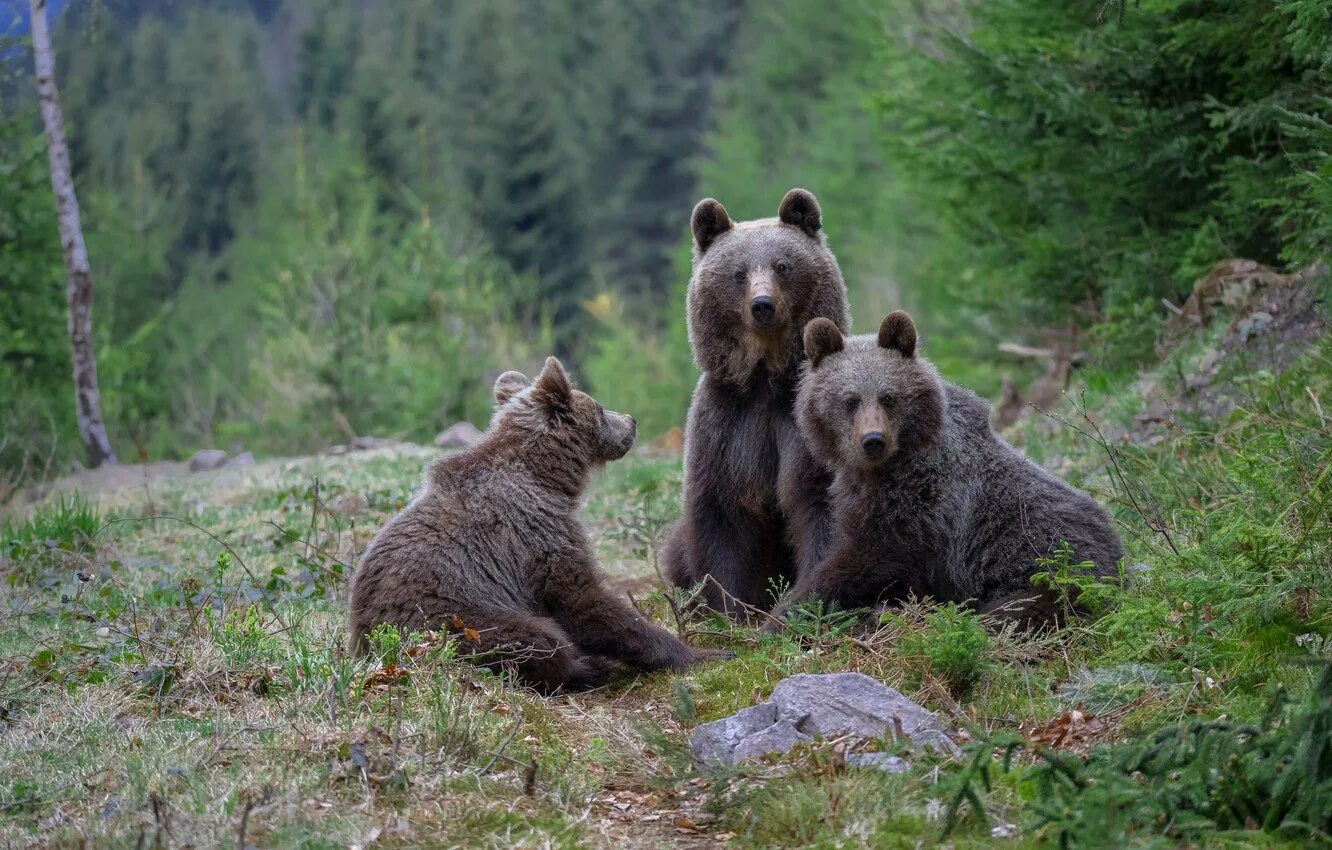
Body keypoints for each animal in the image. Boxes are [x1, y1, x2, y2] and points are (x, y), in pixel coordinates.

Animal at [346, 357, 729, 698]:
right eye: (599, 407)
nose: (631, 421)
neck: (547, 476)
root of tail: (368, 649)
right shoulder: (538, 532)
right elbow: (583, 600)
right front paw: (704, 654)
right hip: (454, 618)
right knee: (537, 639)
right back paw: (592, 667)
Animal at [663, 191, 852, 618]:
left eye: (782, 265)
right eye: (738, 273)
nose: (762, 304)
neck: (765, 379)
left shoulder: (802, 426)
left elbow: (820, 504)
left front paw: (804, 601)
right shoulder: (728, 425)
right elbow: (722, 517)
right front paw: (728, 608)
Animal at [777, 317, 1129, 628]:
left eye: (888, 397)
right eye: (849, 400)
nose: (873, 440)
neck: (881, 470)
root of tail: (1119, 557)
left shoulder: (924, 505)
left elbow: (866, 561)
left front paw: (787, 613)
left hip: (1050, 570)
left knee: (1015, 611)